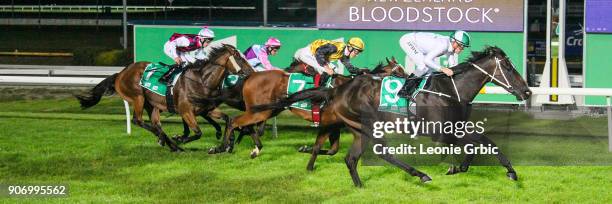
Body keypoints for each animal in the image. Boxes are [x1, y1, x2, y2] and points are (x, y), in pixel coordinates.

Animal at [76, 44, 253, 151]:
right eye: (239, 57)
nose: (251, 71)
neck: (201, 81)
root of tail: (120, 73)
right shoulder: (186, 111)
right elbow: (198, 132)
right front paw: (180, 138)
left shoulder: (207, 109)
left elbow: (227, 119)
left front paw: (227, 144)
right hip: (138, 97)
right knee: (138, 120)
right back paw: (169, 141)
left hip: (152, 105)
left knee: (156, 123)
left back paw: (169, 143)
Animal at [201, 57, 408, 158]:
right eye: (399, 71)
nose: (410, 80)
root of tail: (251, 76)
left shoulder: (333, 125)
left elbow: (332, 150)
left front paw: (305, 148)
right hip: (260, 110)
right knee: (235, 121)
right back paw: (221, 147)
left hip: (269, 109)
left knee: (246, 125)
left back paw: (253, 148)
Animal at [252, 46, 532, 186]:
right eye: (509, 67)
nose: (527, 91)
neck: (450, 90)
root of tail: (337, 89)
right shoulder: (440, 133)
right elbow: (477, 145)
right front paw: (459, 167)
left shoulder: (456, 127)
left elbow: (486, 142)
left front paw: (506, 170)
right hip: (369, 126)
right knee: (380, 153)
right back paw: (419, 174)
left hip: (359, 130)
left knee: (351, 159)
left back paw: (361, 186)